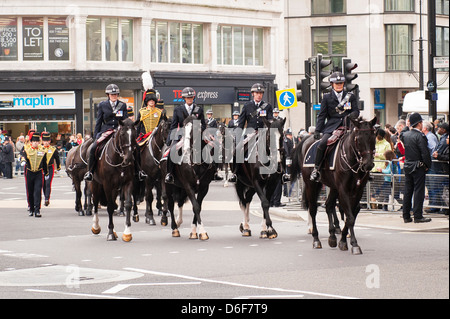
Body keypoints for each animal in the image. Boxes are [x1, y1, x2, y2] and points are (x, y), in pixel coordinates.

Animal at [290, 117, 378, 255]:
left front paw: (343, 241)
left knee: (328, 205)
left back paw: (332, 236)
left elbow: (350, 215)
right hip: (312, 184)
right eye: (358, 139)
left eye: (373, 137)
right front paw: (354, 244)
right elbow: (349, 217)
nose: (368, 164)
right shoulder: (343, 189)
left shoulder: (358, 190)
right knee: (313, 209)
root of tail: (307, 139)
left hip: (332, 187)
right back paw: (316, 239)